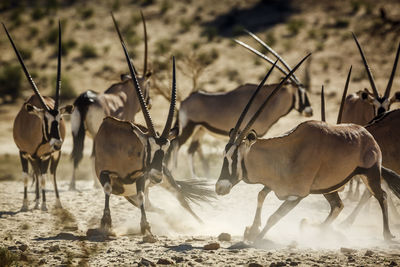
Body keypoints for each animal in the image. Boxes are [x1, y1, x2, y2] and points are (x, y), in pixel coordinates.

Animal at [2, 21, 73, 211]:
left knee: (50, 174)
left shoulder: (47, 155)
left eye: (60, 119)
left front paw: (45, 205)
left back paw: (54, 202)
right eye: (45, 119)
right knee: (36, 172)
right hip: (34, 157)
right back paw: (35, 200)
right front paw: (26, 205)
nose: (57, 143)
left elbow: (43, 178)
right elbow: (27, 177)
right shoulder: (23, 152)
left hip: (53, 156)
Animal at [69, 10, 152, 191]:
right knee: (93, 155)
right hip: (94, 133)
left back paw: (72, 185)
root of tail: (86, 98)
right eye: (149, 84)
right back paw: (96, 184)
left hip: (77, 132)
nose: (149, 102)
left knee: (76, 154)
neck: (126, 94)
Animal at [168, 30, 312, 178]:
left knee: (191, 150)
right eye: (302, 92)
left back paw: (195, 177)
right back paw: (176, 173)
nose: (310, 111)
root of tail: (184, 102)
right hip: (189, 127)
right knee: (176, 144)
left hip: (200, 130)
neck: (266, 100)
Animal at [217, 55, 400, 242]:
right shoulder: (274, 184)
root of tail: (367, 135)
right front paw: (253, 228)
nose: (219, 188)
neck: (284, 152)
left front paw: (257, 237)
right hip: (329, 188)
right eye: (224, 156)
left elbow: (274, 216)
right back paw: (319, 230)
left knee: (381, 195)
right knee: (338, 205)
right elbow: (261, 195)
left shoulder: (296, 195)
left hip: (370, 174)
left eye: (234, 158)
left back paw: (387, 234)